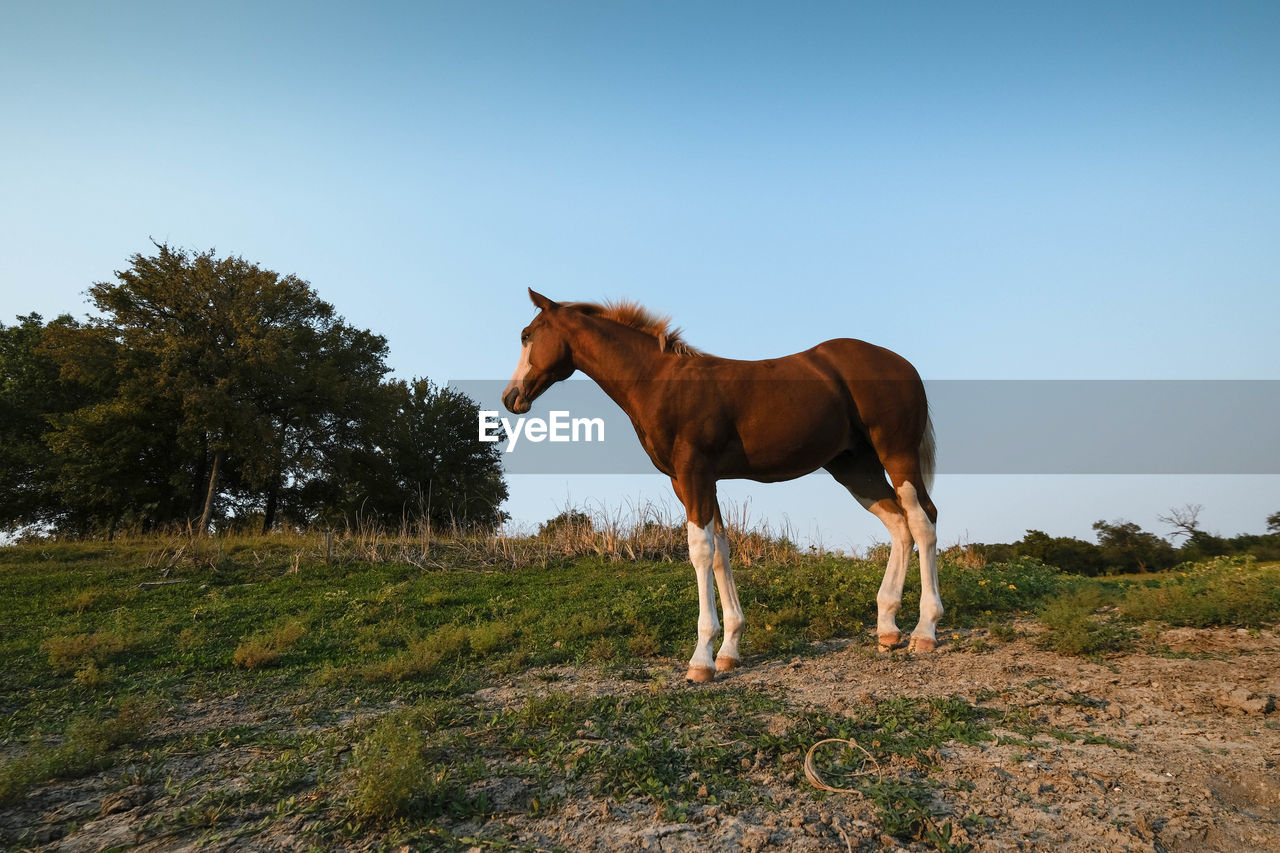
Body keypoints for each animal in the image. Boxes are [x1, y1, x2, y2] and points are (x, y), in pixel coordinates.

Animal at [501, 289, 942, 681]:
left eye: (526, 334)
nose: (511, 397)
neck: (657, 380)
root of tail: (903, 364)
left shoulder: (693, 475)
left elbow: (700, 552)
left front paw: (702, 659)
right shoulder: (693, 483)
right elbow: (720, 553)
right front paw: (729, 650)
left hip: (896, 454)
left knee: (923, 520)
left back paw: (925, 631)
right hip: (855, 468)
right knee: (899, 524)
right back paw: (887, 627)